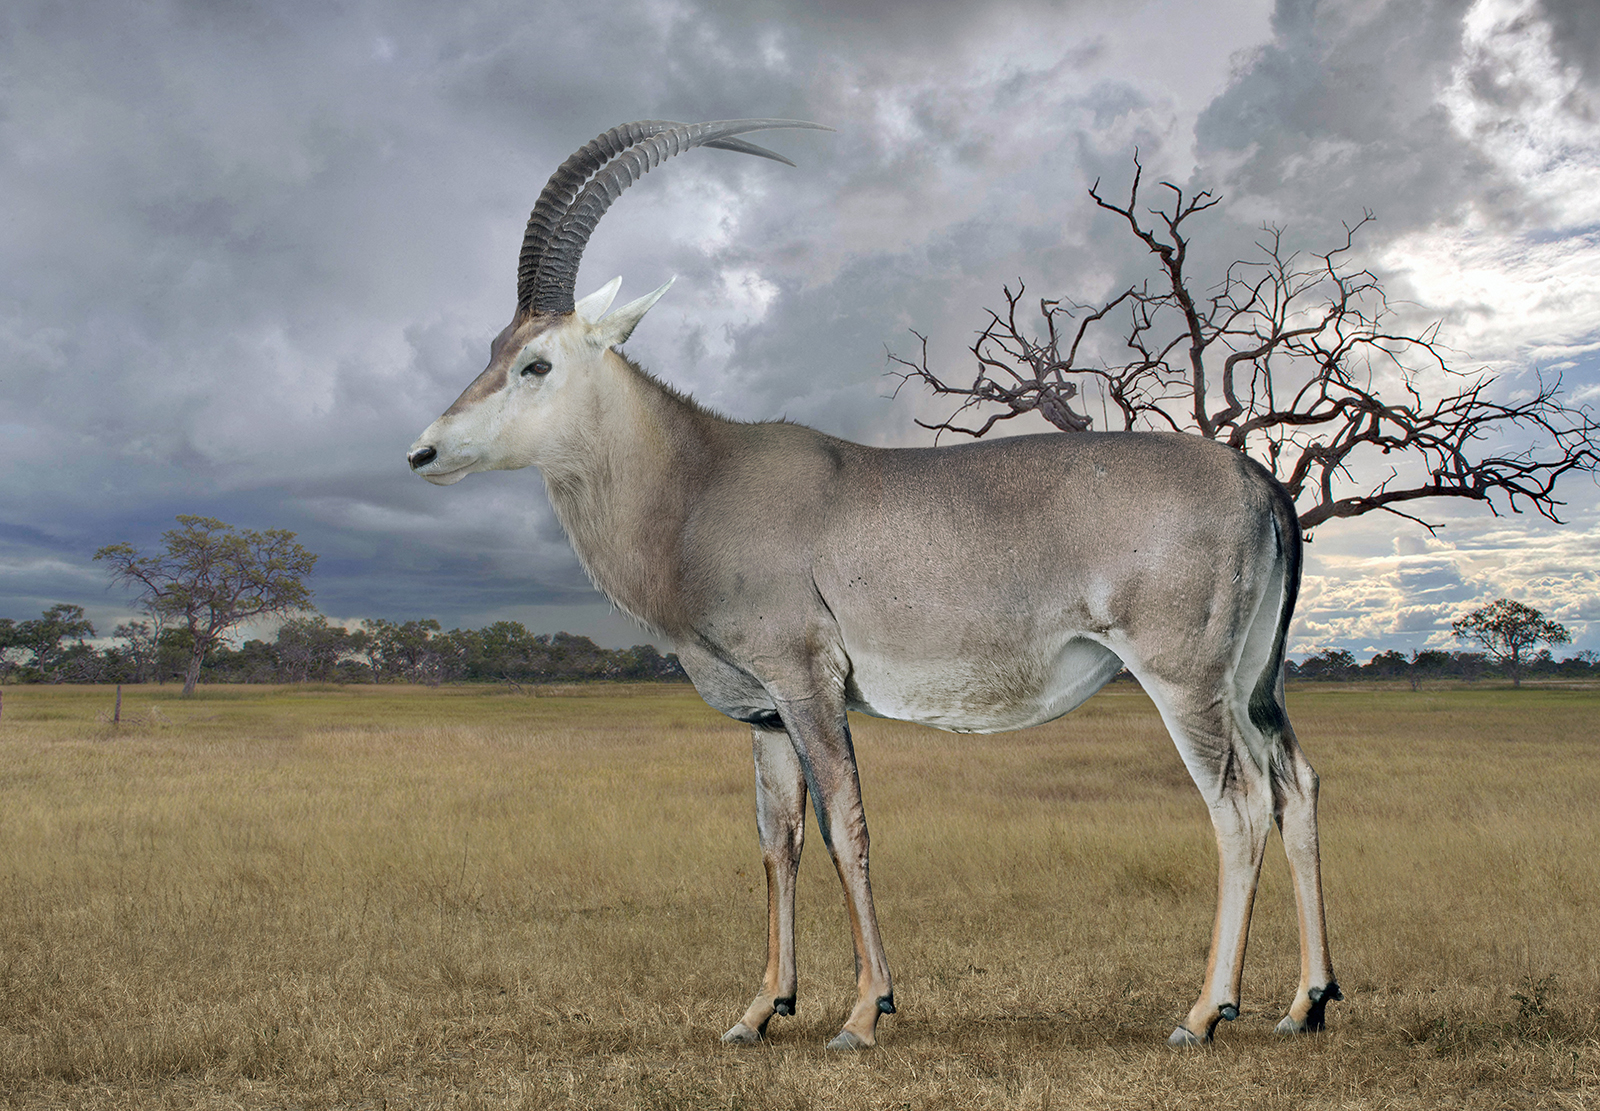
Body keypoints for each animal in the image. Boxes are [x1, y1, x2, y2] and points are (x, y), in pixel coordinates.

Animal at [407, 119, 1341, 1050]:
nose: (423, 452)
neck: (700, 478)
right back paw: (1306, 1001)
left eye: (536, 362)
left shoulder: (808, 682)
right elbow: (776, 839)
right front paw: (760, 1009)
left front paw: (864, 1011)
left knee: (1239, 804)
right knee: (1294, 784)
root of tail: (1258, 480)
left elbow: (843, 825)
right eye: (494, 349)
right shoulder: (765, 712)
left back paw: (1206, 1010)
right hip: (1253, 682)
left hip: (1185, 680)